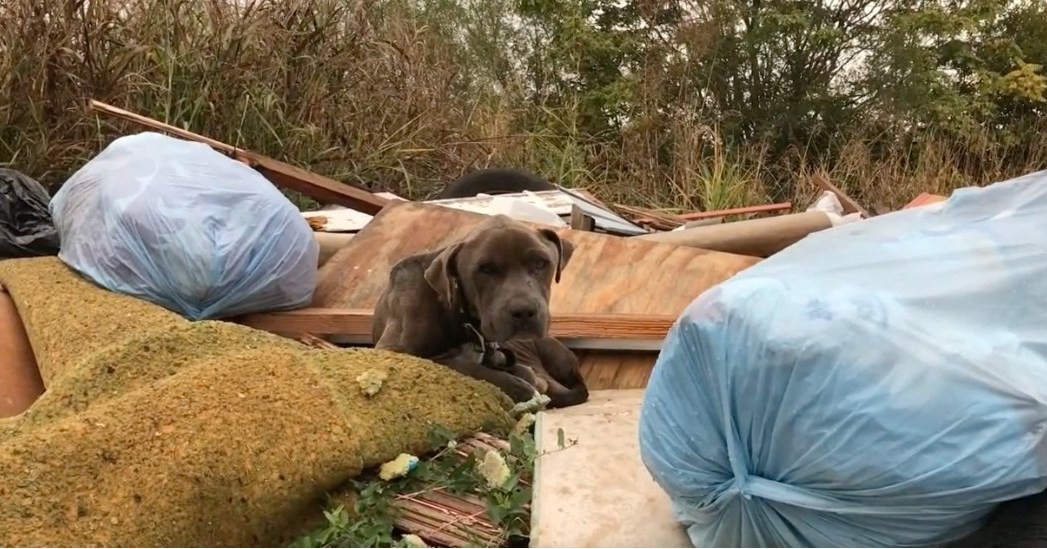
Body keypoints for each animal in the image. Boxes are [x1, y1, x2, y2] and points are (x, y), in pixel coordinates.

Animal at [372, 214, 590, 406]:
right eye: (485, 269)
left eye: (540, 263)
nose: (523, 311)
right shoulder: (392, 351)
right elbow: (462, 367)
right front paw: (519, 386)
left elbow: (518, 370)